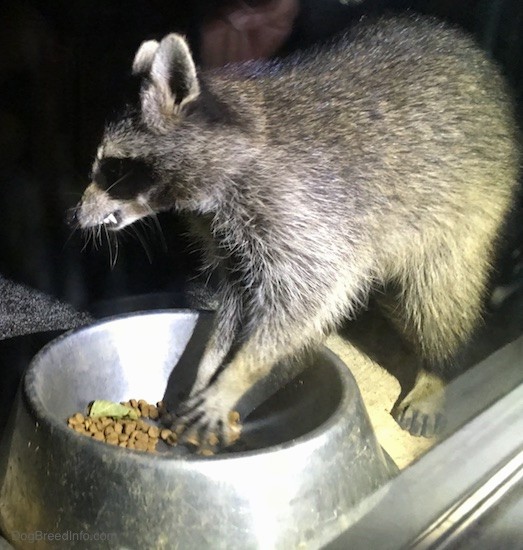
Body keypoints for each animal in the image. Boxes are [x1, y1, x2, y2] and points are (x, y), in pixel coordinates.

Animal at [72, 16, 520, 448]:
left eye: (111, 168)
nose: (76, 217)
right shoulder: (225, 234)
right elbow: (235, 299)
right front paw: (210, 366)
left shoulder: (301, 208)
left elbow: (305, 298)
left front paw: (239, 373)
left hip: (471, 206)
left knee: (440, 295)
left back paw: (436, 367)